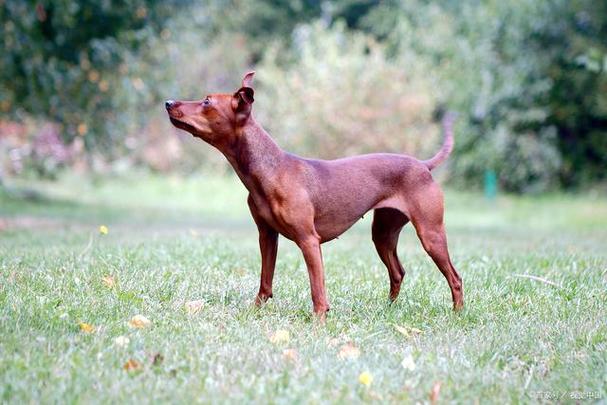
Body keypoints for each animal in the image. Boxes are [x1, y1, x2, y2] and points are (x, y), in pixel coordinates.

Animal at [164, 72, 464, 318]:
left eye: (207, 102)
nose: (168, 102)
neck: (270, 169)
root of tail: (422, 165)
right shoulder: (267, 235)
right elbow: (265, 282)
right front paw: (254, 312)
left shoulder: (309, 240)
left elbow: (317, 290)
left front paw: (319, 322)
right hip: (383, 234)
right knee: (397, 273)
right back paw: (388, 310)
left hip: (431, 234)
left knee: (455, 278)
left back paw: (457, 315)